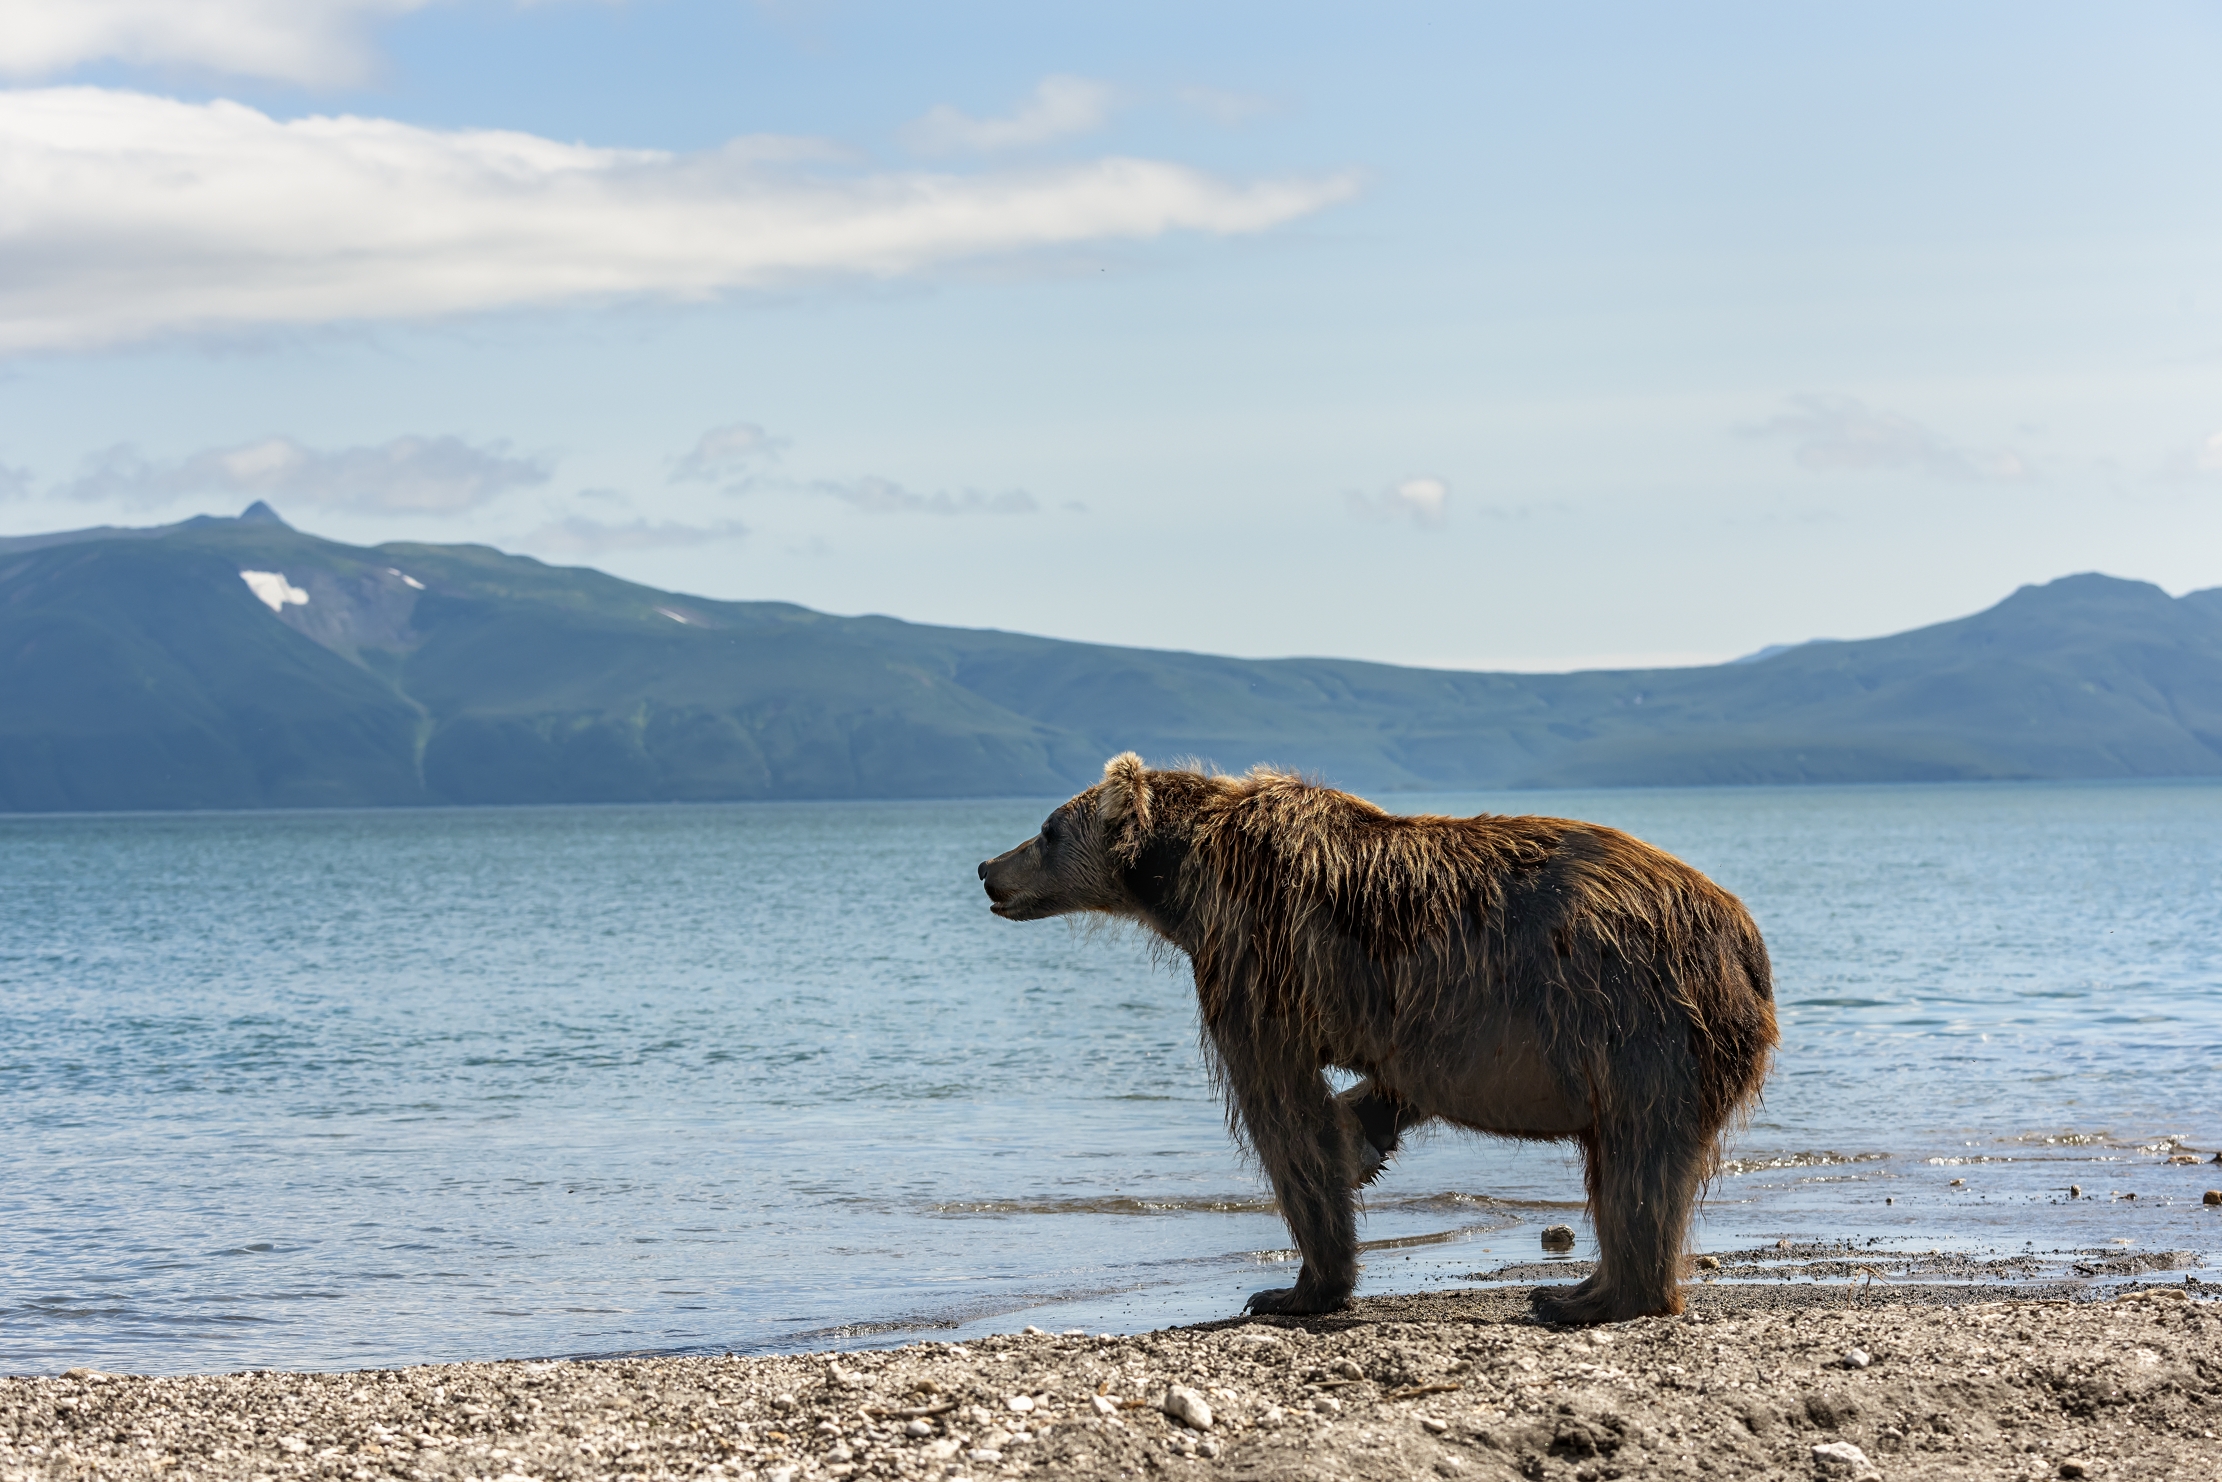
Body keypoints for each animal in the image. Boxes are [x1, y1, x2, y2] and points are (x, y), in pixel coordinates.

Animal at [982, 755, 1777, 1324]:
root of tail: (1747, 942)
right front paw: (1361, 1135)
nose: (989, 869)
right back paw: (1579, 1287)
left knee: (1640, 1162)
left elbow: (1284, 1116)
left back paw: (1593, 1297)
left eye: (1047, 830)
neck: (1187, 880)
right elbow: (1370, 1098)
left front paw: (1294, 1288)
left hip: (1639, 1018)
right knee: (1623, 1166)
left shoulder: (1259, 958)